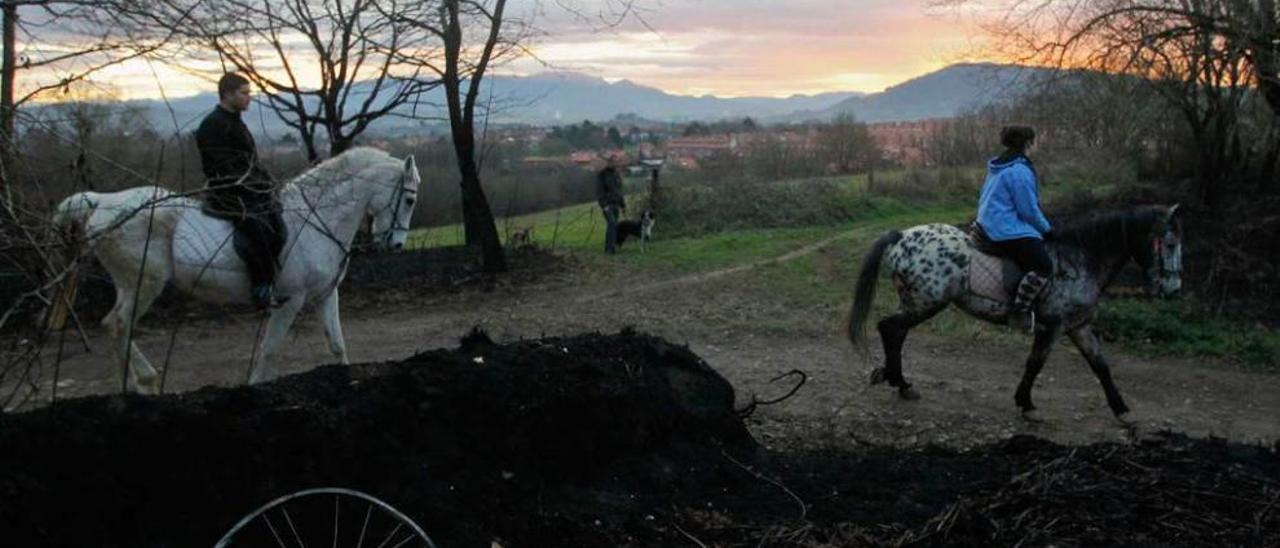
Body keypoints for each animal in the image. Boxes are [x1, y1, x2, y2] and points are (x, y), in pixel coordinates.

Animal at [51, 147, 419, 391]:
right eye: (410, 199)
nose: (397, 244)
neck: (317, 218)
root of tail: (101, 202)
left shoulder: (326, 295)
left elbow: (338, 346)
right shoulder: (291, 300)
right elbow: (269, 351)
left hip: (130, 282)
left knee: (114, 325)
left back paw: (134, 387)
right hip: (145, 281)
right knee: (119, 324)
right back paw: (144, 383)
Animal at [844, 203, 1182, 422]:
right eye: (1169, 243)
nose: (1174, 290)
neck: (1080, 259)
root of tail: (901, 236)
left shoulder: (1078, 325)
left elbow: (1101, 366)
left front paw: (1121, 409)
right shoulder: (1053, 326)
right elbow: (1035, 363)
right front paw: (1026, 404)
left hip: (915, 301)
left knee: (896, 332)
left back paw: (897, 381)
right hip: (925, 302)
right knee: (889, 328)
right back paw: (896, 380)